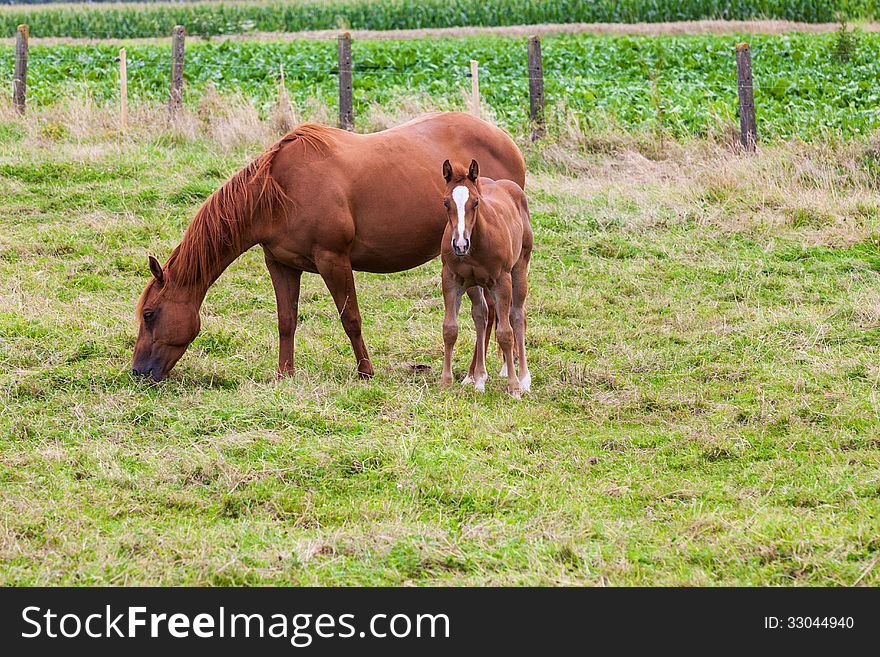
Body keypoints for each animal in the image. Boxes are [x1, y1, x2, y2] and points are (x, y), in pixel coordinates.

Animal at [134, 112, 524, 380]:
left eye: (149, 314)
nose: (138, 372)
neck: (278, 190)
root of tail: (506, 141)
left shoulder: (333, 260)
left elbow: (350, 318)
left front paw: (366, 372)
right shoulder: (280, 264)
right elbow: (286, 320)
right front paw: (284, 374)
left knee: (492, 312)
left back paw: (480, 374)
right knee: (487, 312)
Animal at [438, 158, 532, 400]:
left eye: (475, 202)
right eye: (446, 203)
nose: (460, 245)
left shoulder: (501, 282)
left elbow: (506, 333)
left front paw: (513, 387)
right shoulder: (450, 279)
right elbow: (450, 329)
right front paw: (446, 382)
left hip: (520, 268)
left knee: (517, 316)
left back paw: (524, 378)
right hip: (475, 285)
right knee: (481, 315)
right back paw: (478, 378)